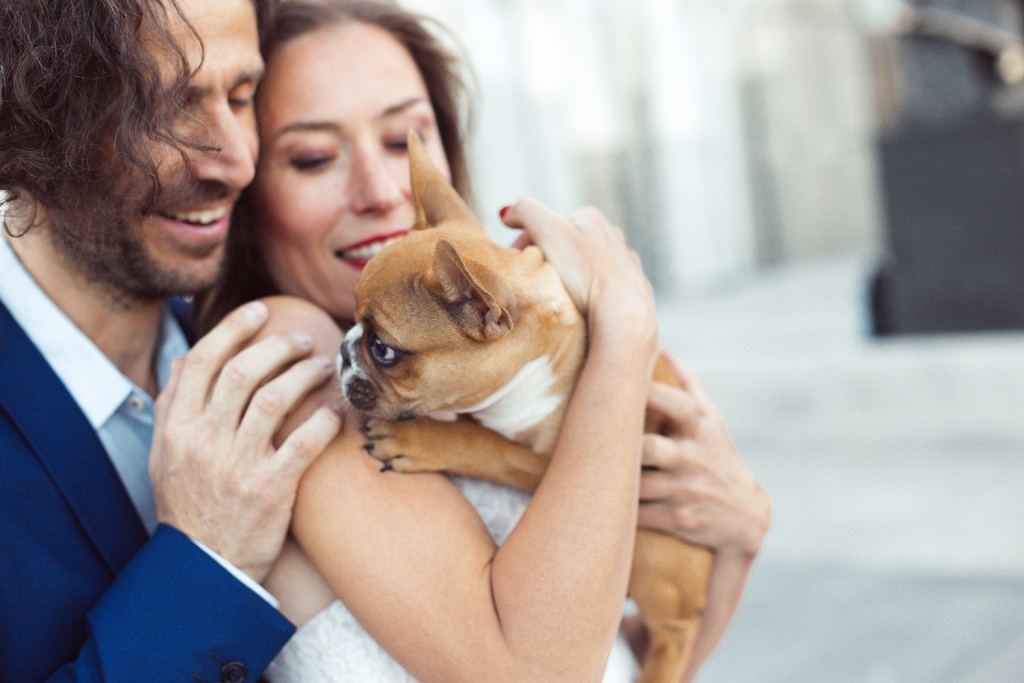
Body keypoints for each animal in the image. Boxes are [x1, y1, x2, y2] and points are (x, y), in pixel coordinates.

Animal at [338, 130, 713, 683]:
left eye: (383, 348)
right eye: (352, 323)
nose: (342, 349)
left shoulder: (552, 463)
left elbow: (488, 445)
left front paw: (421, 437)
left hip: (652, 550)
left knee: (674, 634)